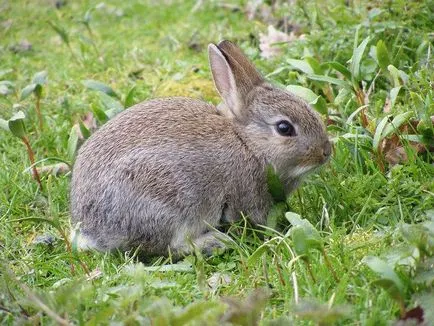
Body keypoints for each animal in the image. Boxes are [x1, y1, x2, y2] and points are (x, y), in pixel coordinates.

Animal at [69, 39, 330, 256]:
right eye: (284, 128)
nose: (326, 152)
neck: (247, 143)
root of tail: (91, 231)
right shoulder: (248, 194)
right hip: (170, 203)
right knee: (170, 246)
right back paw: (216, 242)